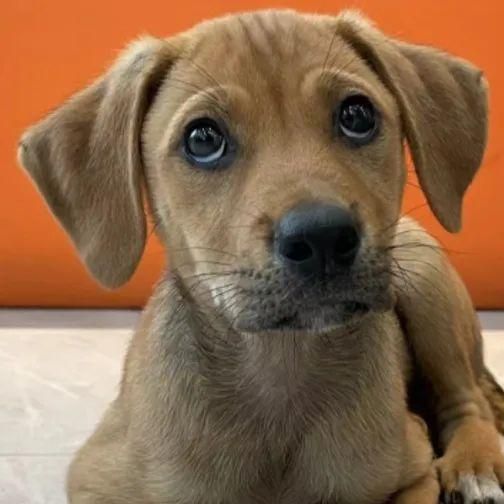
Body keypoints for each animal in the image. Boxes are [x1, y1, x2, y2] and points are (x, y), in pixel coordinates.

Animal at [18, 9, 504, 504]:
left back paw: (474, 466)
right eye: (202, 139)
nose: (322, 236)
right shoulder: (94, 479)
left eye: (357, 115)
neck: (281, 367)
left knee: (467, 402)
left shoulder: (415, 471)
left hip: (424, 276)